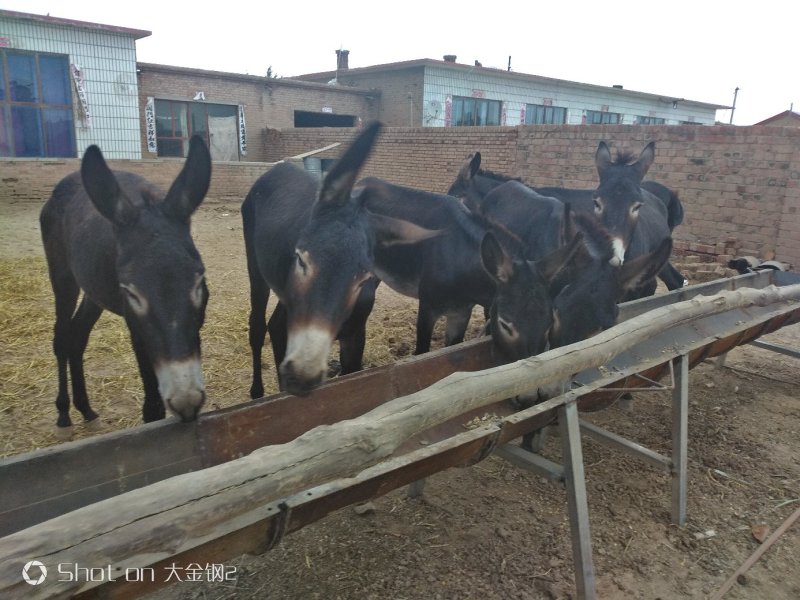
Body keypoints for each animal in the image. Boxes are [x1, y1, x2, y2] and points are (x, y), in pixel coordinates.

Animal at [39, 135, 212, 439]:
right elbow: (152, 409)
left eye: (198, 283)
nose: (187, 401)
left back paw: (86, 410)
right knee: (61, 337)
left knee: (77, 335)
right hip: (62, 275)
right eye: (133, 293)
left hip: (94, 290)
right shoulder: (137, 329)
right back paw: (63, 414)